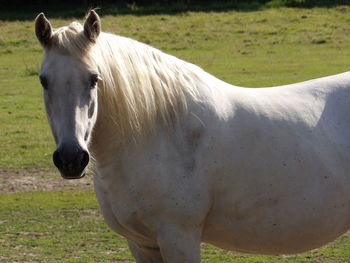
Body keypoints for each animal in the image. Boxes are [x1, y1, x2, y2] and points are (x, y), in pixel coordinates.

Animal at [34, 10, 350, 263]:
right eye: (44, 80)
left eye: (94, 78)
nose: (71, 158)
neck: (158, 134)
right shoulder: (142, 244)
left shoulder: (179, 238)